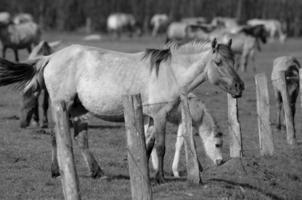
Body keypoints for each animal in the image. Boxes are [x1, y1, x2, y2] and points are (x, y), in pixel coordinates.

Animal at [0, 38, 243, 184]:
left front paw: (144, 175)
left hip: (77, 108)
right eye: (219, 62)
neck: (170, 73)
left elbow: (147, 146)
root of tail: (50, 58)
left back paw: (97, 171)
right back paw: (56, 170)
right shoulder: (160, 116)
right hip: (63, 105)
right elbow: (161, 147)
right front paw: (160, 178)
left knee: (80, 138)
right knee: (55, 135)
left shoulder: (149, 118)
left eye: (234, 60)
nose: (239, 86)